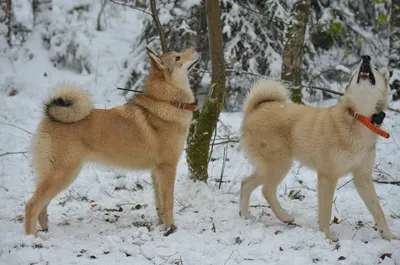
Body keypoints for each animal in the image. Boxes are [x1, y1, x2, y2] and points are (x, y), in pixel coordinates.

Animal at [24, 46, 200, 236]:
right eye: (177, 57)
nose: (196, 48)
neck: (166, 101)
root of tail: (49, 118)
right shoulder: (167, 168)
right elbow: (168, 203)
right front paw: (170, 228)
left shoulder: (156, 171)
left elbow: (159, 203)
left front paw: (161, 225)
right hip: (62, 174)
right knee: (31, 205)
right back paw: (33, 237)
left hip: (60, 175)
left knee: (42, 205)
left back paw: (45, 230)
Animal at [239, 54, 398, 240]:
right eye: (356, 71)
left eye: (376, 69)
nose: (365, 57)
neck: (360, 118)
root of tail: (255, 109)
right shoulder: (327, 176)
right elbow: (326, 210)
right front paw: (327, 236)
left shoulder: (362, 177)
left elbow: (378, 210)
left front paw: (388, 235)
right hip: (279, 164)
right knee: (266, 190)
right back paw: (284, 216)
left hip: (268, 167)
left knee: (245, 184)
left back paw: (246, 217)